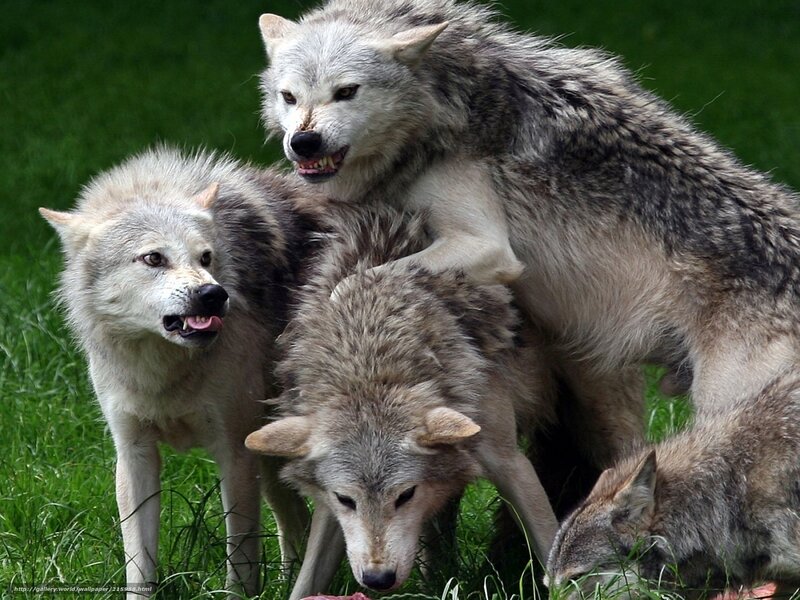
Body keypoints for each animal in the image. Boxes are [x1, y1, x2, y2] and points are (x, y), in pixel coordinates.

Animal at [40, 147, 312, 597]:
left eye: (206, 258)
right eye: (154, 258)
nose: (213, 294)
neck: (162, 370)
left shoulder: (234, 453)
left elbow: (240, 557)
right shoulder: (133, 454)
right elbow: (139, 565)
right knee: (296, 523)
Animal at [244, 201, 562, 598]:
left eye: (405, 495)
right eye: (346, 500)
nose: (377, 579)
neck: (372, 356)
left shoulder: (509, 462)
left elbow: (552, 547)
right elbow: (305, 581)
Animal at [256, 0, 800, 445]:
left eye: (346, 92)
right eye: (289, 97)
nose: (303, 142)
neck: (448, 98)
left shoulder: (486, 246)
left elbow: (350, 285)